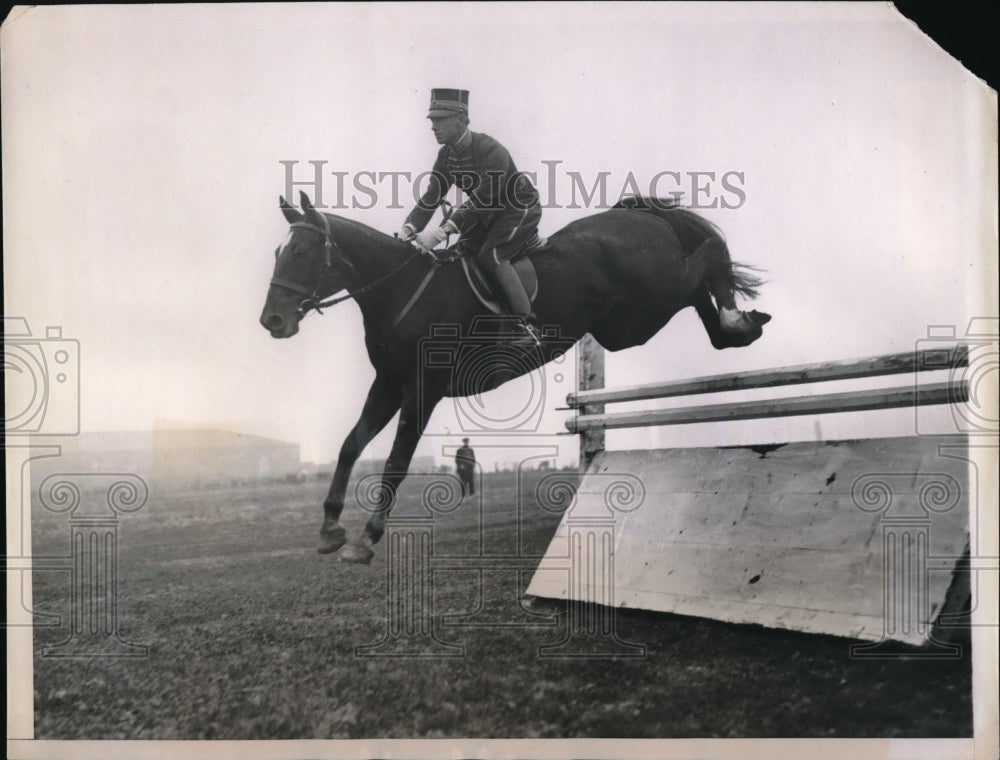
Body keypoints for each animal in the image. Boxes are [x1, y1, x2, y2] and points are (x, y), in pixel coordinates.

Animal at [262, 193, 768, 560]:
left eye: (303, 252)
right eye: (277, 252)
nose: (272, 321)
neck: (400, 291)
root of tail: (636, 215)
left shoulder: (423, 391)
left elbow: (395, 461)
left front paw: (367, 537)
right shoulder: (387, 385)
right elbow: (351, 445)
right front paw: (330, 527)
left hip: (649, 298)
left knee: (707, 256)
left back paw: (737, 314)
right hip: (628, 325)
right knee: (701, 299)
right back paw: (739, 326)